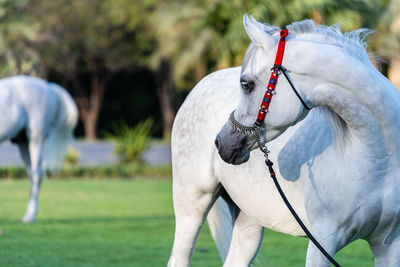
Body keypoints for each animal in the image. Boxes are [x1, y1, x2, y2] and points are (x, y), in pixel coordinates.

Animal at [0, 76, 78, 224]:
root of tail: (48, 86)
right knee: (31, 174)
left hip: (36, 140)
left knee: (37, 175)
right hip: (23, 142)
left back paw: (30, 215)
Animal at [168, 15, 400, 267]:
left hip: (249, 219)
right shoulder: (323, 239)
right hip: (192, 205)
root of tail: (201, 84)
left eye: (246, 84)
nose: (222, 143)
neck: (378, 158)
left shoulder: (388, 245)